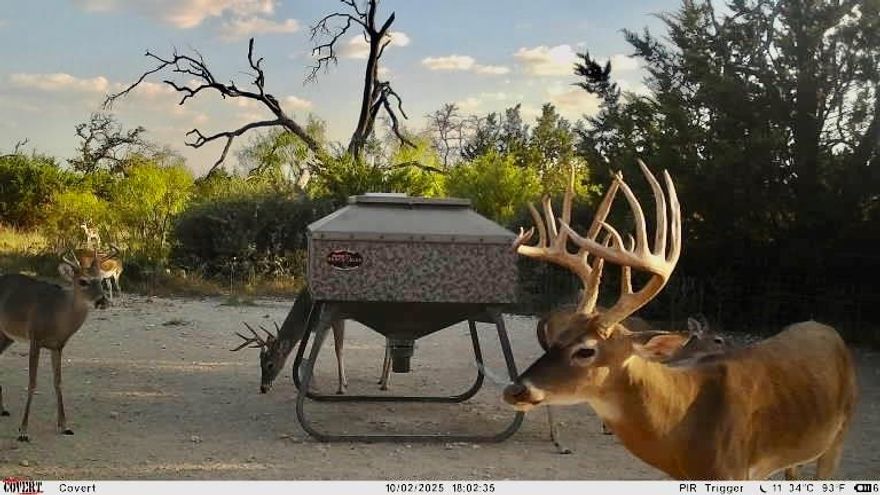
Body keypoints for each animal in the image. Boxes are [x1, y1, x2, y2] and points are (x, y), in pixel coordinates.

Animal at [0, 249, 110, 441]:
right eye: (83, 281)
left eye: (101, 280)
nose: (102, 301)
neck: (57, 316)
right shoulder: (35, 338)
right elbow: (32, 382)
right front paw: (23, 431)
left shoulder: (58, 346)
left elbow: (58, 382)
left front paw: (64, 426)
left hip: (7, 335)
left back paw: (3, 409)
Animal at [503, 160, 857, 480]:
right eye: (560, 339)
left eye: (586, 350)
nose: (515, 390)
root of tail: (828, 329)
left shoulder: (735, 471)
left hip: (838, 434)